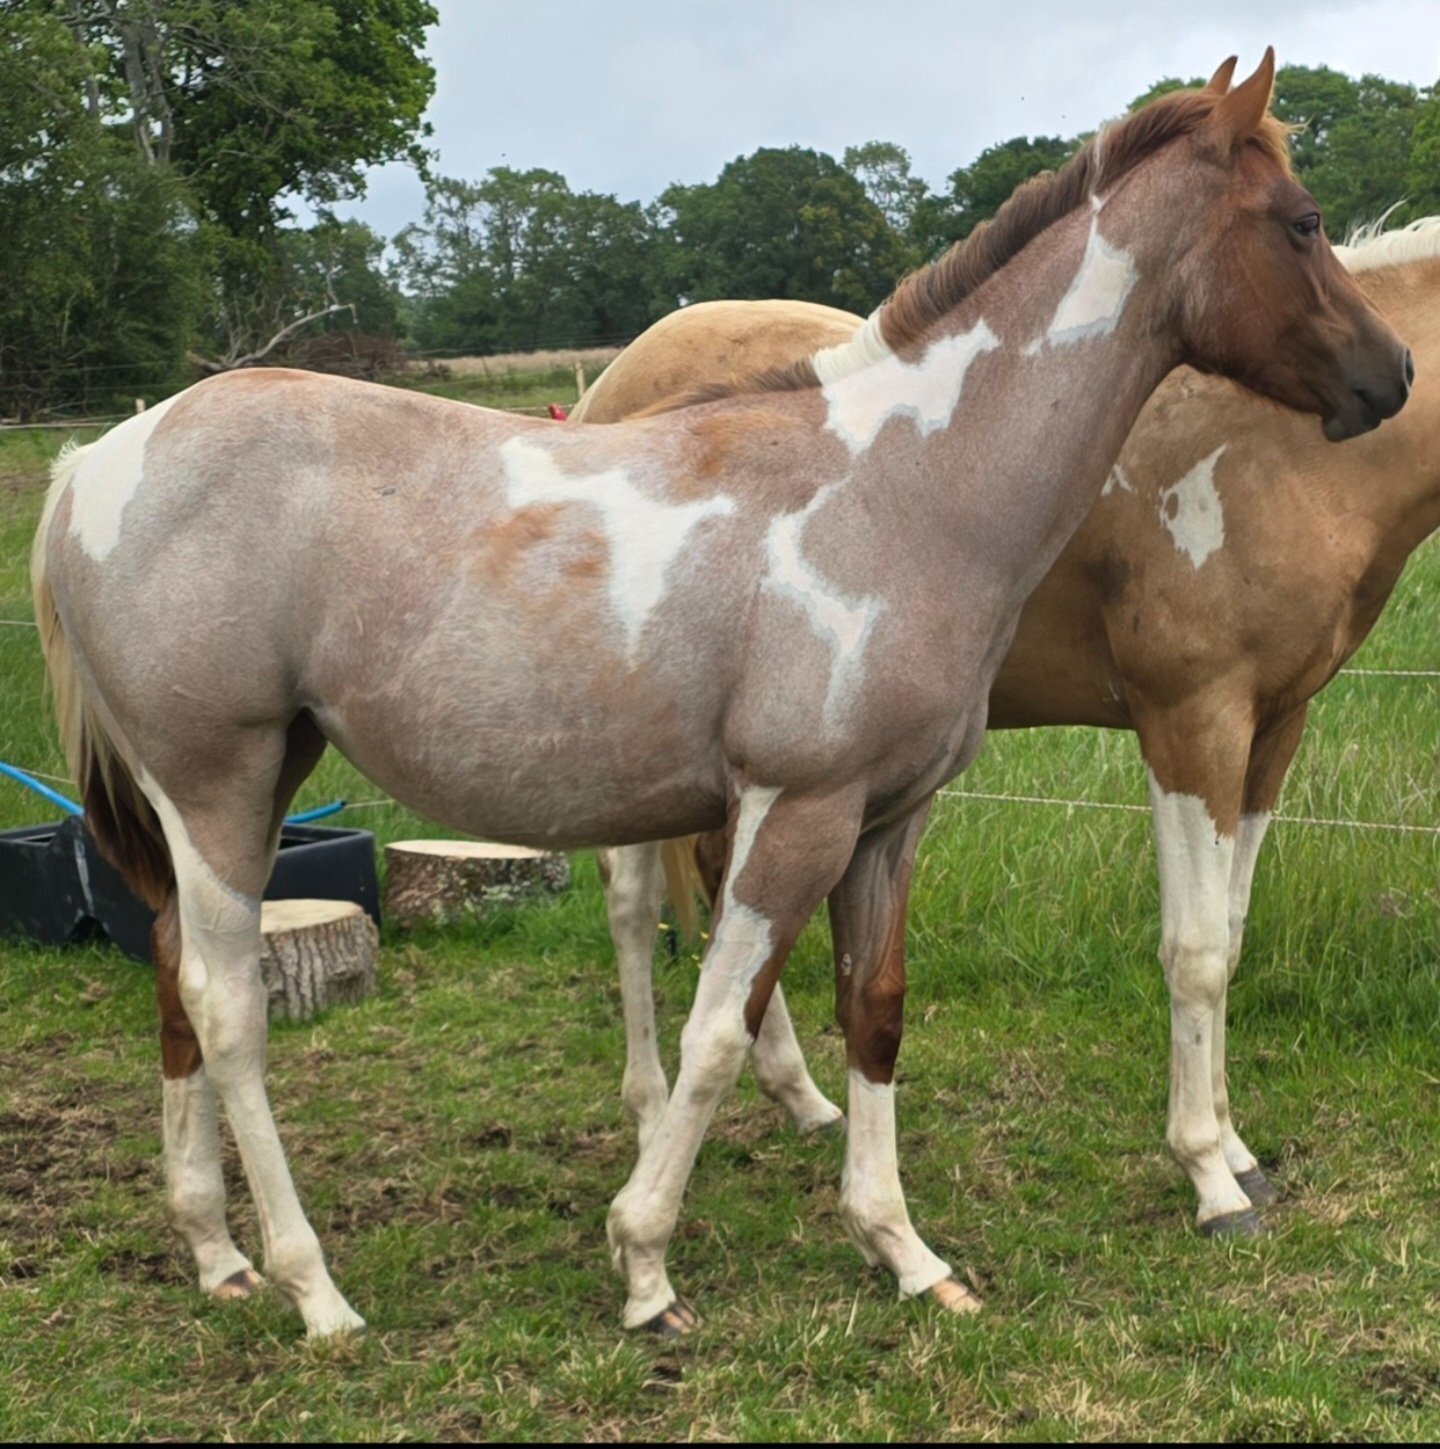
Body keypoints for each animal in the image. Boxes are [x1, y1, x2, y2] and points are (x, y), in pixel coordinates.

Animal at [584, 215, 1440, 1242]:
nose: (1387, 381)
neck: (1281, 442)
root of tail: (610, 384)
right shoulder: (1191, 720)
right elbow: (1192, 951)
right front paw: (1208, 1174)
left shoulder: (1276, 726)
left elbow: (1228, 936)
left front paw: (1237, 1148)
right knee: (636, 903)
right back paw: (651, 1110)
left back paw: (798, 1097)